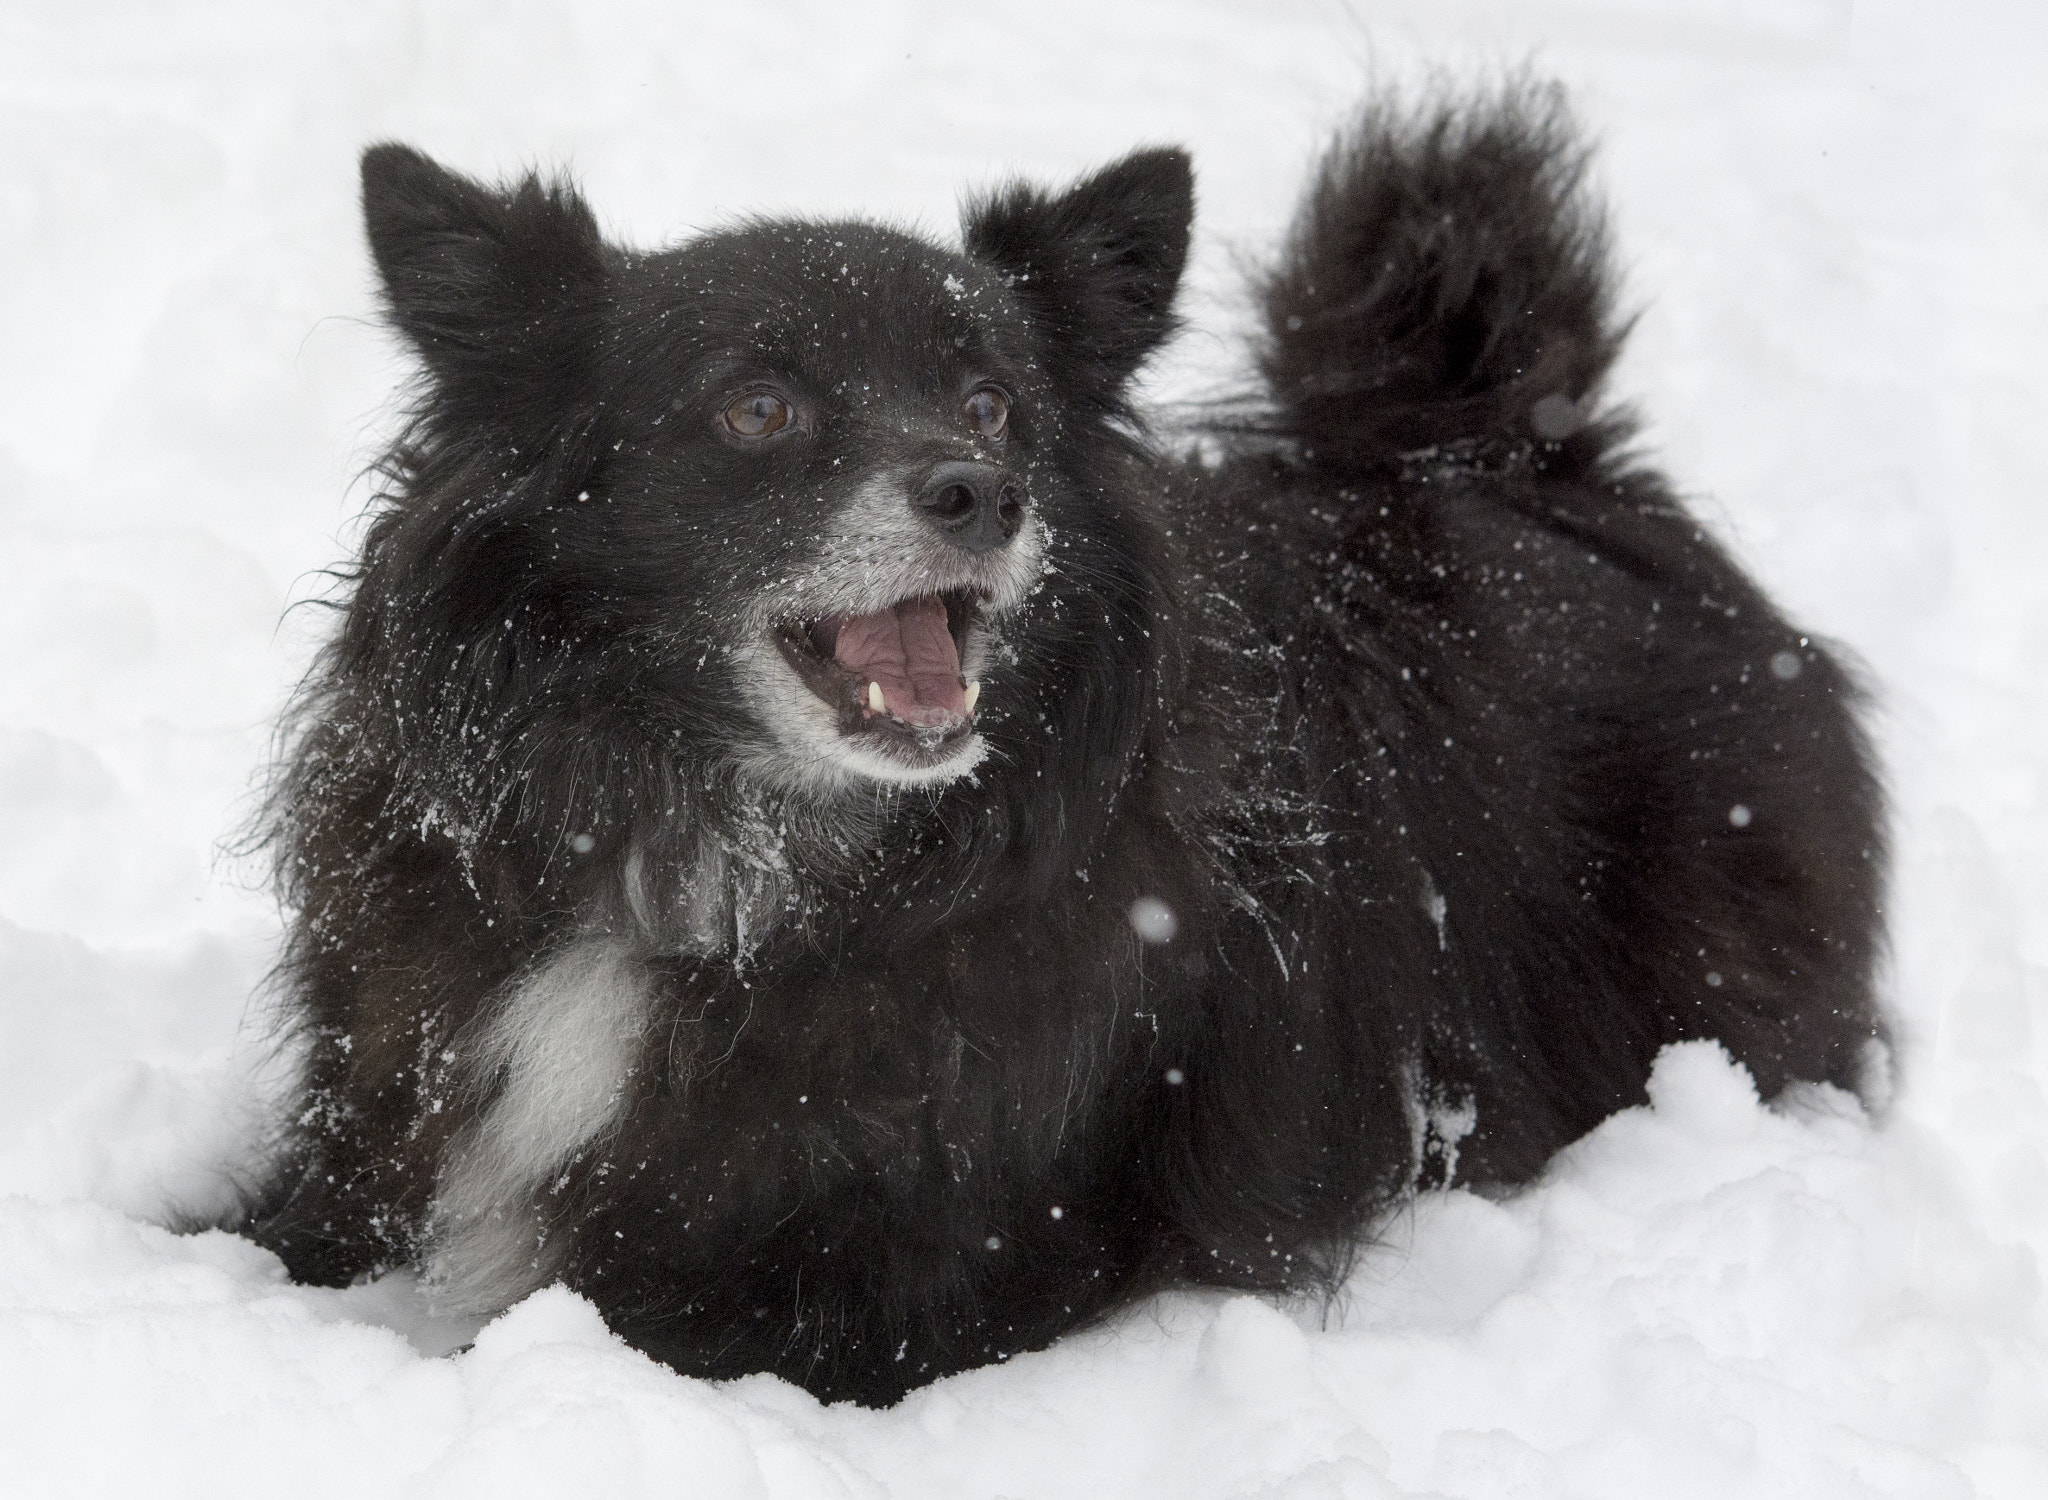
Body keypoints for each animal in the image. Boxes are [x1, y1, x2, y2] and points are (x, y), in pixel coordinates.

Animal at [228, 85, 1884, 1409]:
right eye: (756, 407)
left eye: (989, 404)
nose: (981, 491)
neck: (727, 857)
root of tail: (1513, 454)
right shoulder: (363, 1145)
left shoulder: (877, 1292)